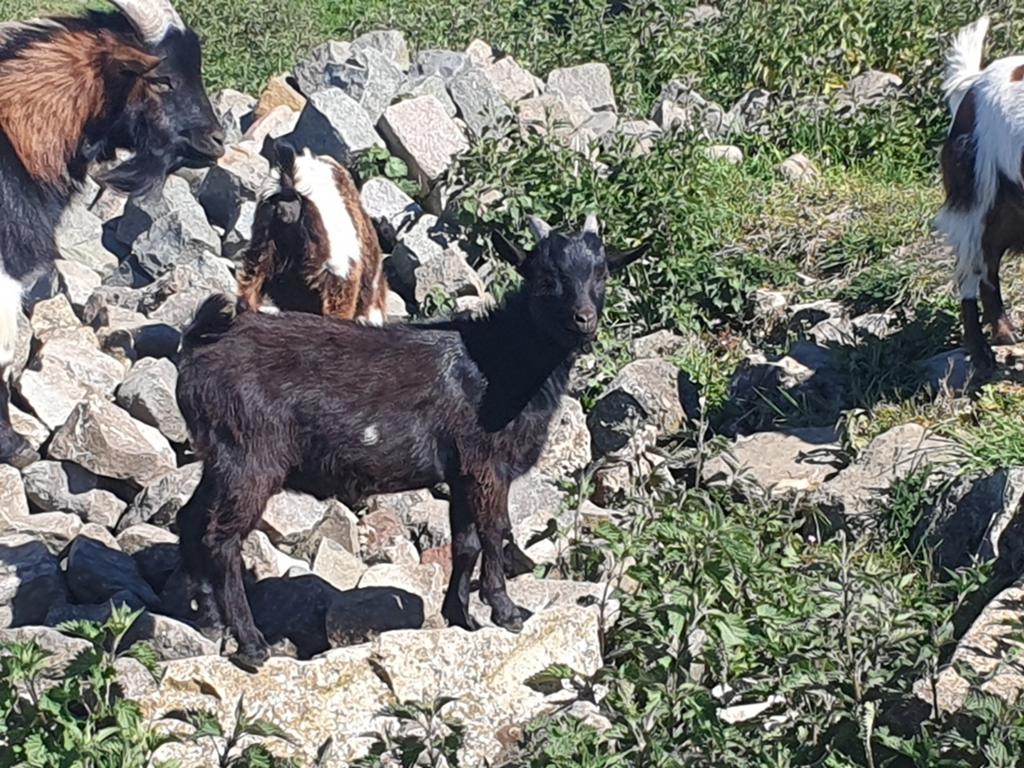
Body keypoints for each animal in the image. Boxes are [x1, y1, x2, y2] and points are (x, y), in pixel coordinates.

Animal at [175, 215, 648, 669]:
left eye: (602, 273)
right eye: (546, 276)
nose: (583, 319)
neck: (497, 362)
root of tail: (198, 350)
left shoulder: (460, 474)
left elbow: (466, 542)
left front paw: (461, 616)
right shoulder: (485, 463)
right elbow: (496, 530)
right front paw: (507, 611)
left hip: (219, 458)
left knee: (191, 518)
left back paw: (209, 619)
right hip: (251, 458)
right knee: (222, 539)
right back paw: (252, 644)